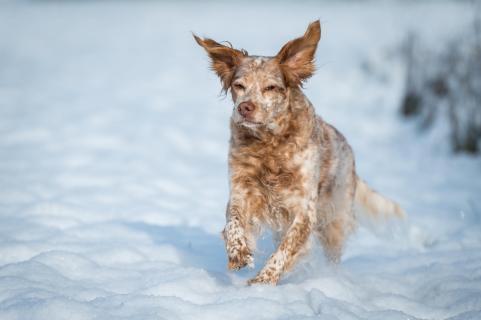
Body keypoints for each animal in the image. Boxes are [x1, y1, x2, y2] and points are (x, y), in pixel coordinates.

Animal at [193, 20, 404, 284]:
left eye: (271, 87)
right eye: (238, 86)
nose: (244, 108)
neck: (270, 145)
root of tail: (348, 149)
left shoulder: (304, 210)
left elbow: (286, 250)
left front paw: (263, 281)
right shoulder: (241, 192)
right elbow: (234, 223)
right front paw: (238, 253)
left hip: (334, 221)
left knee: (332, 254)